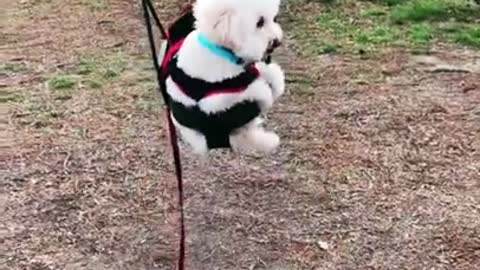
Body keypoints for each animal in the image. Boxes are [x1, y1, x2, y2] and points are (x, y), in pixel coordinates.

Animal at [166, 0, 284, 155]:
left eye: (274, 18)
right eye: (259, 23)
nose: (277, 41)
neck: (218, 47)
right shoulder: (245, 85)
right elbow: (268, 79)